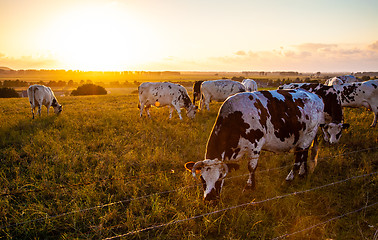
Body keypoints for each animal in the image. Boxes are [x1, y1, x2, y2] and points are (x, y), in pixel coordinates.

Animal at [186, 89, 348, 202]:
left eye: (219, 178)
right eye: (202, 179)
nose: (210, 199)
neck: (236, 117)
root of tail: (315, 96)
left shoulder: (255, 146)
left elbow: (251, 168)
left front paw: (249, 188)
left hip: (309, 134)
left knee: (298, 158)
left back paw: (289, 178)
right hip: (304, 137)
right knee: (304, 154)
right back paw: (302, 173)